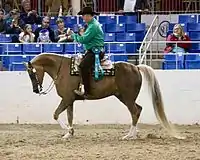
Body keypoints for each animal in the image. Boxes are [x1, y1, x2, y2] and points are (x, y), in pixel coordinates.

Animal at [24, 52, 184, 140]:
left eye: (32, 73)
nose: (35, 90)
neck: (62, 68)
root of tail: (136, 67)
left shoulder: (67, 99)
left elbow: (56, 114)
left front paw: (66, 131)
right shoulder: (70, 100)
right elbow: (70, 117)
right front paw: (69, 133)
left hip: (128, 98)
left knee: (135, 112)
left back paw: (129, 136)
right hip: (123, 97)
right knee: (138, 109)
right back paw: (132, 134)